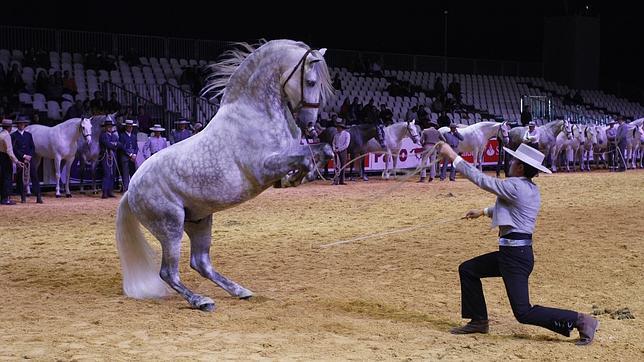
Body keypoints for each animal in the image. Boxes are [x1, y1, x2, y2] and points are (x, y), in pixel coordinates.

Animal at [115, 39, 334, 312]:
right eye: (311, 82)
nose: (312, 126)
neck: (255, 113)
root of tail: (131, 189)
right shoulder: (265, 167)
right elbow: (307, 155)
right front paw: (298, 176)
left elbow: (324, 149)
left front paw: (301, 176)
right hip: (170, 226)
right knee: (168, 272)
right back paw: (201, 301)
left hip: (199, 221)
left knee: (200, 263)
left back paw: (239, 291)